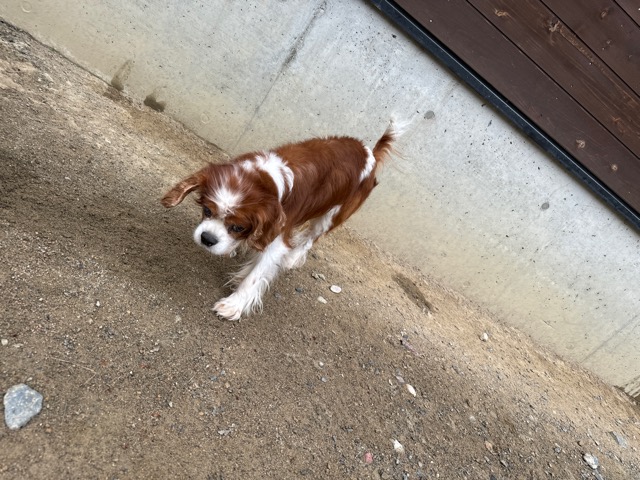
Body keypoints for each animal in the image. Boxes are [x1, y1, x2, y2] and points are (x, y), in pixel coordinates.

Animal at [161, 120, 400, 320]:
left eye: (238, 226)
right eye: (206, 211)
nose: (207, 239)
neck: (265, 179)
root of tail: (370, 153)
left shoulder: (278, 235)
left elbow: (256, 275)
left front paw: (233, 305)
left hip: (332, 214)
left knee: (311, 238)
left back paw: (293, 259)